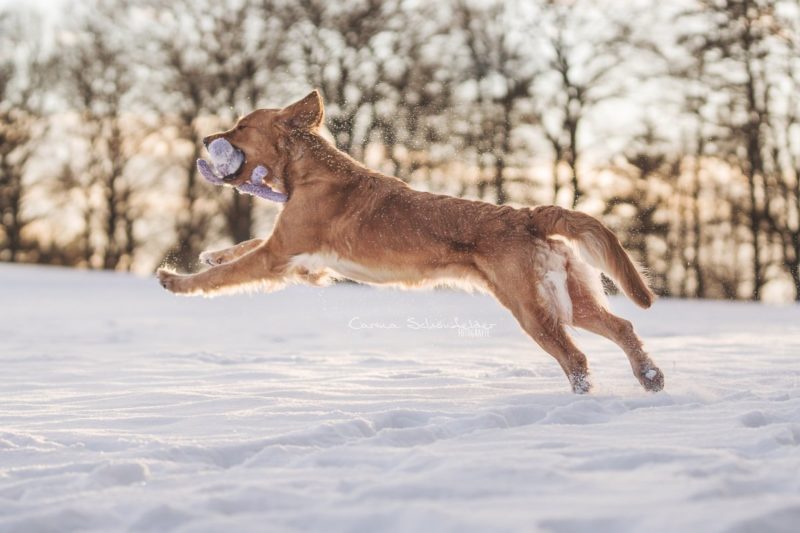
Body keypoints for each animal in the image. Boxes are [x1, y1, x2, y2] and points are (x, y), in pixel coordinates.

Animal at [156, 89, 664, 392]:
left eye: (241, 127)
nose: (206, 136)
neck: (309, 172)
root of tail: (528, 215)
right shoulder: (300, 259)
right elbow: (241, 248)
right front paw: (213, 251)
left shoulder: (281, 253)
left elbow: (225, 274)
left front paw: (176, 280)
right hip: (568, 300)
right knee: (623, 327)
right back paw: (650, 377)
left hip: (531, 308)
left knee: (576, 357)